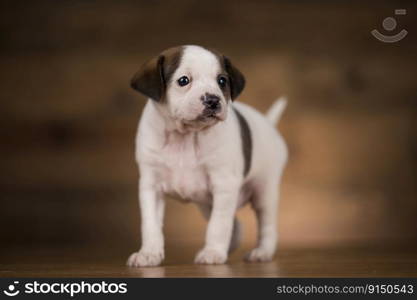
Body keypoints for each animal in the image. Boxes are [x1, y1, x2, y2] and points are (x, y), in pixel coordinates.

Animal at [127, 45, 288, 268]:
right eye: (183, 80)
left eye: (222, 81)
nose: (213, 99)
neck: (185, 137)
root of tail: (268, 123)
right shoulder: (151, 187)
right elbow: (151, 225)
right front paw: (149, 253)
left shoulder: (224, 185)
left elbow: (218, 225)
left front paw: (213, 252)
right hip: (206, 203)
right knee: (236, 225)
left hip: (264, 192)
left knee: (266, 226)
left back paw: (262, 252)